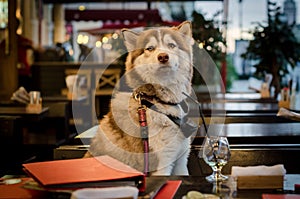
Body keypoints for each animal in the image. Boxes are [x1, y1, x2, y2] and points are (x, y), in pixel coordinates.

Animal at [84, 21, 197, 175]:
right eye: (150, 48)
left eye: (171, 45)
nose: (163, 56)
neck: (158, 103)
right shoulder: (161, 166)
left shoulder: (181, 162)